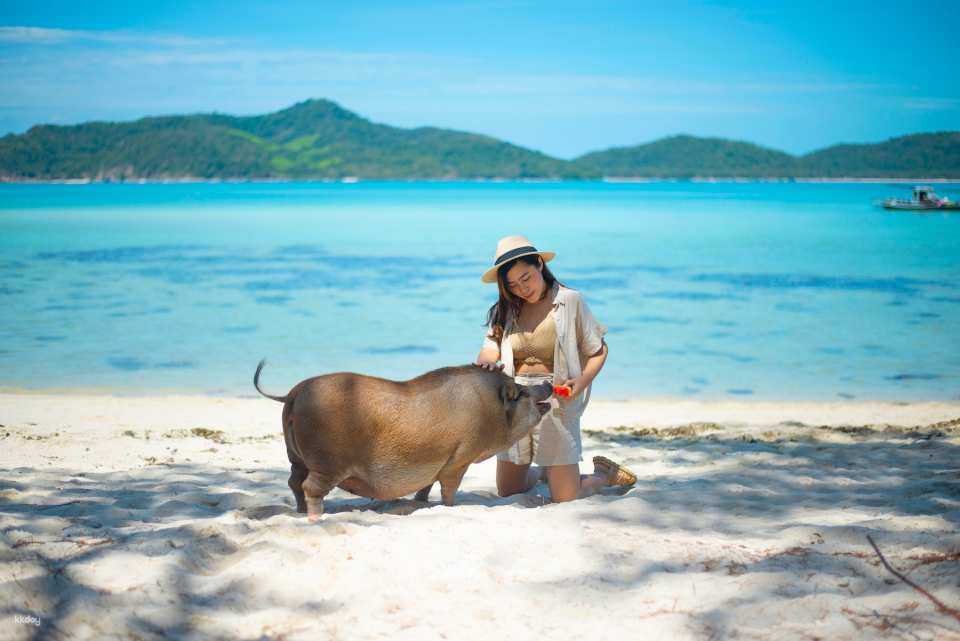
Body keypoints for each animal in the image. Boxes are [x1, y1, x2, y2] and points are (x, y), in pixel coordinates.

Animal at [253, 360, 554, 520]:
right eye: (520, 393)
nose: (548, 383)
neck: (488, 410)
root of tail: (293, 394)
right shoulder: (460, 458)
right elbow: (449, 489)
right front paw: (450, 507)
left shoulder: (438, 461)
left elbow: (427, 485)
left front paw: (421, 503)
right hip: (327, 462)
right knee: (310, 487)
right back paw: (315, 517)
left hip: (296, 458)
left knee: (293, 482)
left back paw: (299, 512)